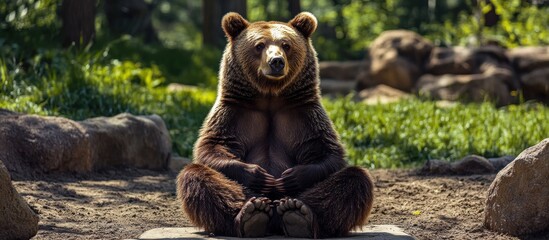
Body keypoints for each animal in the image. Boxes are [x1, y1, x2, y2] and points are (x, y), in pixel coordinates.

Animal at [176, 11, 372, 238]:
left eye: (286, 45)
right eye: (259, 45)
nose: (276, 61)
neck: (270, 96)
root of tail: (275, 220)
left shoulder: (304, 114)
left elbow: (326, 151)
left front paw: (291, 177)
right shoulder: (234, 112)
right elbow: (213, 147)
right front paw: (259, 175)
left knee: (353, 179)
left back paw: (298, 214)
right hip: (244, 191)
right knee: (198, 177)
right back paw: (252, 215)